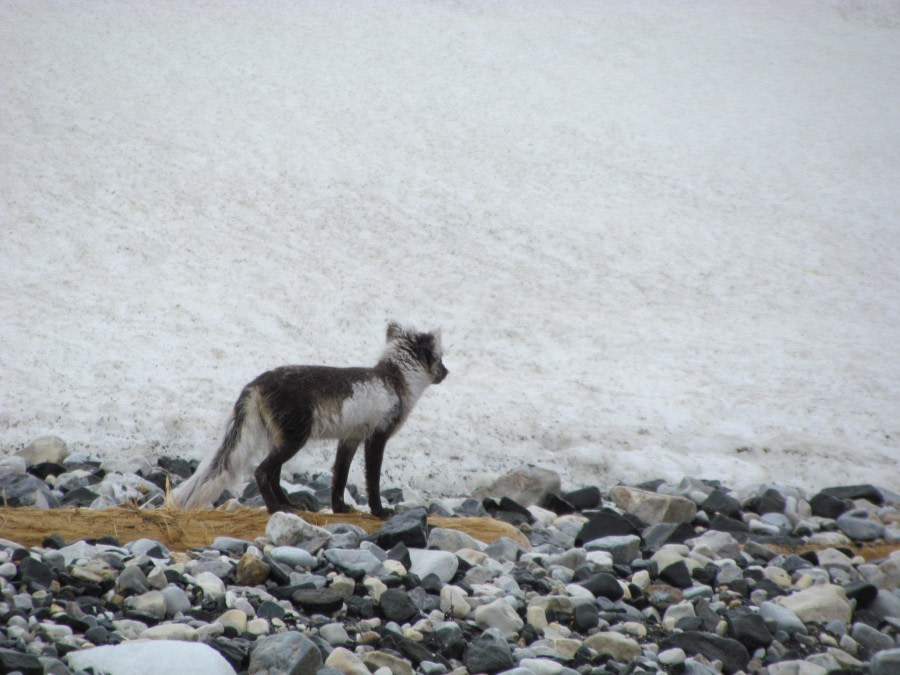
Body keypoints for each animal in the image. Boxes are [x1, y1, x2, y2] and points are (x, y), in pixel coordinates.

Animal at [171, 322, 448, 516]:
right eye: (440, 357)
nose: (447, 372)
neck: (397, 381)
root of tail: (255, 384)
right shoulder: (377, 436)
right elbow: (373, 480)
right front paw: (380, 512)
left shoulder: (350, 438)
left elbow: (339, 476)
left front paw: (340, 509)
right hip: (295, 438)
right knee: (262, 471)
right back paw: (276, 508)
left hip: (280, 439)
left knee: (273, 474)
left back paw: (290, 504)